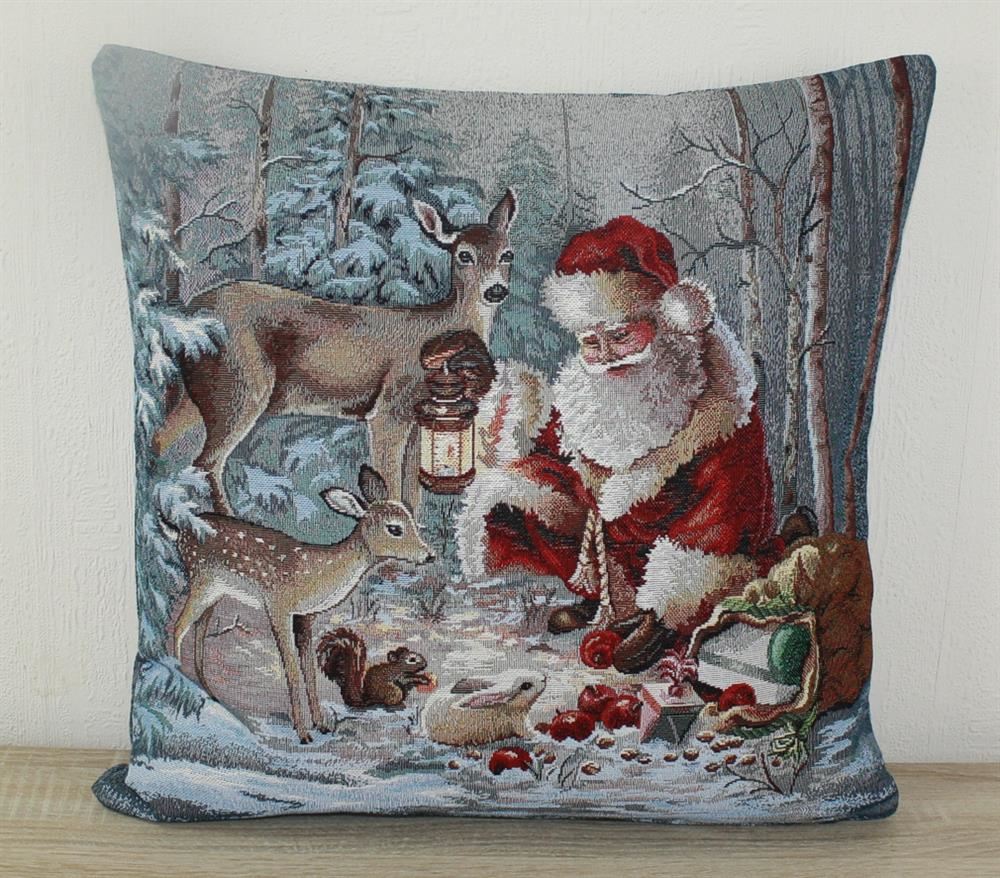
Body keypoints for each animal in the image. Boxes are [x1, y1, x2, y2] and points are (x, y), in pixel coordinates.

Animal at [153, 189, 518, 515]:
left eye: (507, 254)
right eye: (464, 254)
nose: (496, 290)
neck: (436, 328)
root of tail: (188, 315)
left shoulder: (417, 421)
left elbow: (414, 495)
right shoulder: (390, 408)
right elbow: (390, 484)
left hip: (202, 392)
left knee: (161, 441)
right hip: (241, 384)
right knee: (207, 461)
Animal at [169, 466, 434, 744]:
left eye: (413, 521)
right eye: (394, 528)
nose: (429, 555)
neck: (317, 575)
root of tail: (180, 531)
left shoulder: (306, 615)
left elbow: (309, 670)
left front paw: (321, 724)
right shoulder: (278, 605)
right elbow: (293, 670)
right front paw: (303, 733)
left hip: (216, 592)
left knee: (198, 631)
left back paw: (208, 692)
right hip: (200, 579)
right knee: (178, 628)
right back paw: (177, 676)